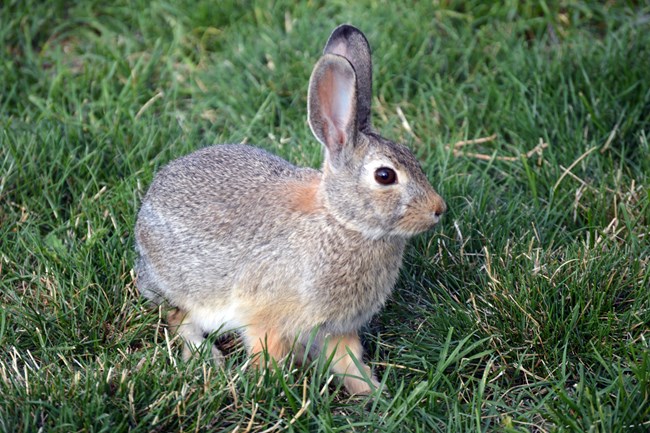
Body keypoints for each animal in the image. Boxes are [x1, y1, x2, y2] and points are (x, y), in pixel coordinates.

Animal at [134, 24, 446, 395]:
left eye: (411, 155)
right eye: (385, 176)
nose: (438, 209)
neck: (342, 221)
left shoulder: (336, 328)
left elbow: (348, 361)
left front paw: (373, 394)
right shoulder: (266, 317)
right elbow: (266, 352)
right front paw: (266, 384)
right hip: (190, 292)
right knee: (178, 319)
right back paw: (209, 358)